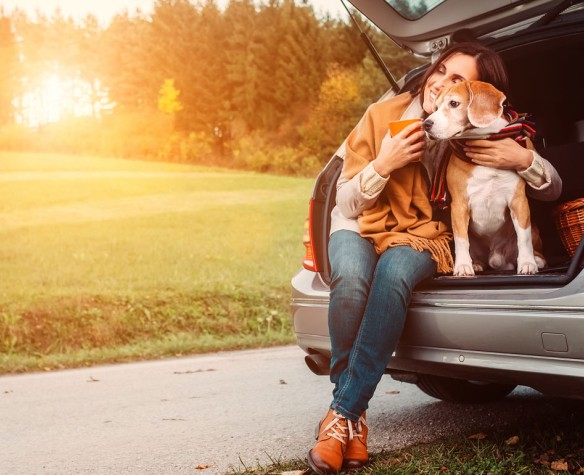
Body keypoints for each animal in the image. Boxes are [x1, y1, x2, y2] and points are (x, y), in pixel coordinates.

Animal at [422, 80, 544, 278]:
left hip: (533, 227)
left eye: (453, 103)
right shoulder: (459, 206)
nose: (425, 124)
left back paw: (538, 260)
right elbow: (462, 240)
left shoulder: (518, 201)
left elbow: (523, 238)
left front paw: (527, 263)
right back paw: (477, 264)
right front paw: (463, 266)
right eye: (436, 107)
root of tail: (495, 258)